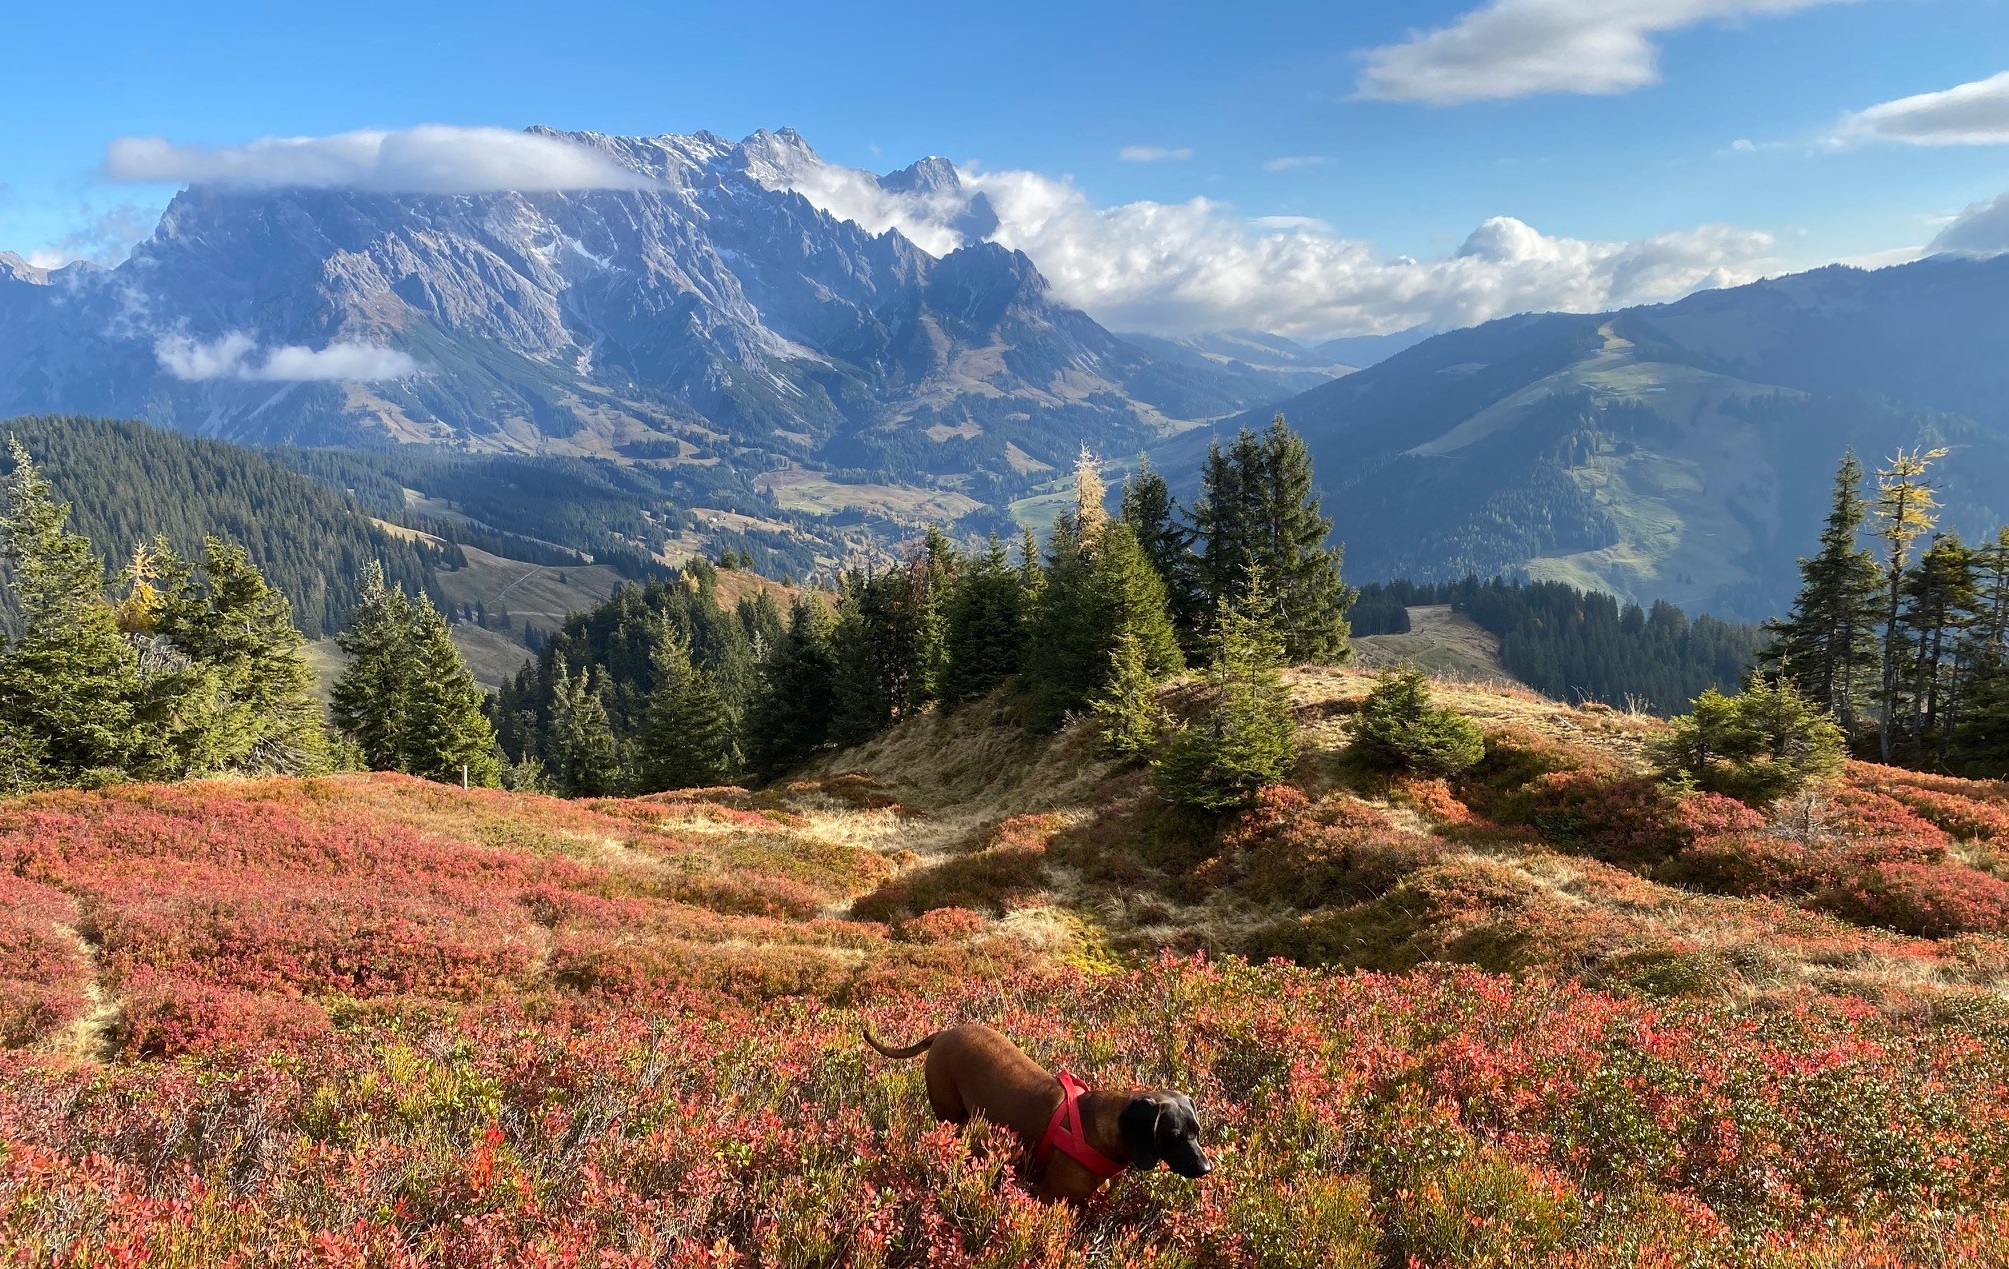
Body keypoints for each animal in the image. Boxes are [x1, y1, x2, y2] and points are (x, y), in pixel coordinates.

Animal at [863, 1020, 1205, 1196]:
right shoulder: (1051, 1197)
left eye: (1197, 1132)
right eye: (1173, 1135)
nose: (1206, 1168)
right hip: (949, 1115)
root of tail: (943, 1033)